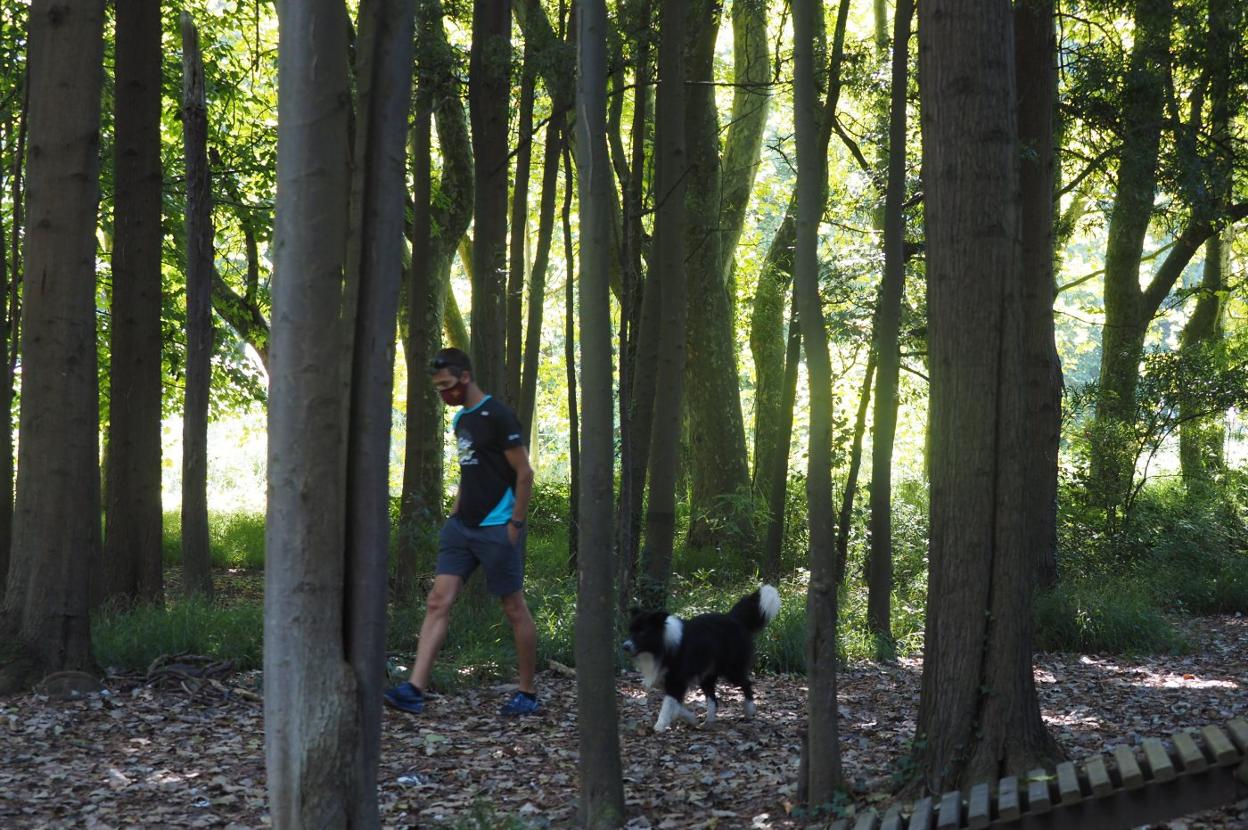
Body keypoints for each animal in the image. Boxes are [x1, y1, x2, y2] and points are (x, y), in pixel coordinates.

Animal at [624, 586, 778, 728]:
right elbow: (676, 705)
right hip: (707, 675)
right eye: (630, 630)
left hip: (731, 670)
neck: (661, 644)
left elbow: (668, 704)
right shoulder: (669, 681)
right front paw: (691, 718)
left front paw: (660, 725)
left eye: (642, 632)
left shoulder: (676, 679)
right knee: (713, 699)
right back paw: (709, 721)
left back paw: (749, 710)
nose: (625, 646)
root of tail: (733, 618)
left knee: (746, 683)